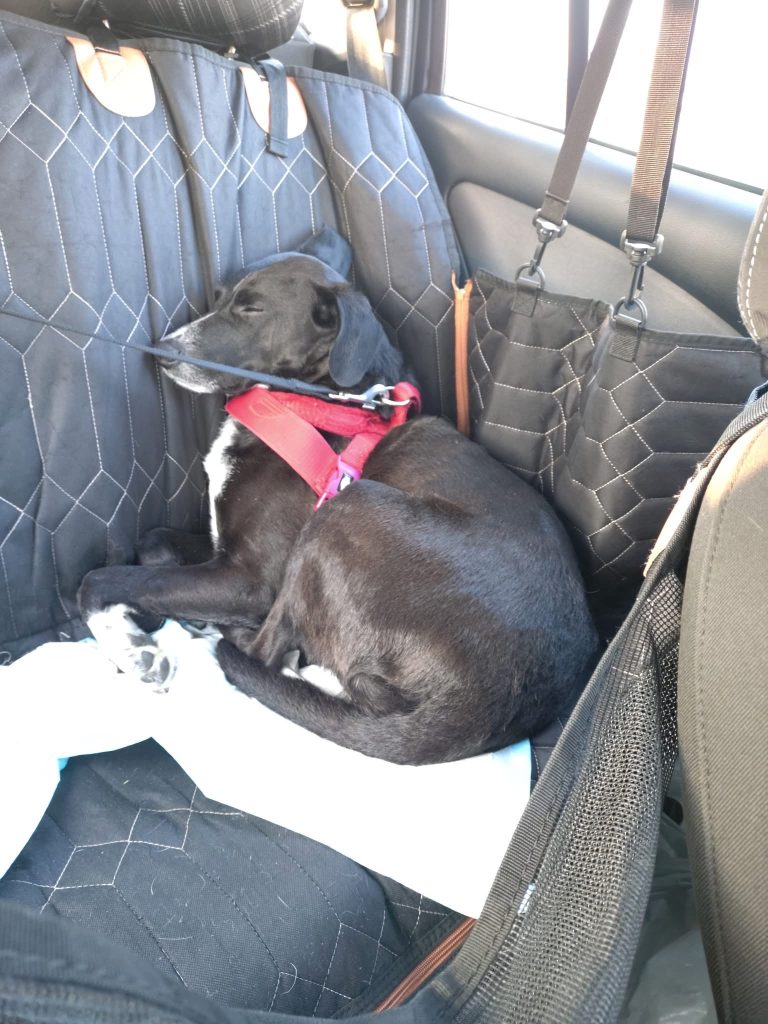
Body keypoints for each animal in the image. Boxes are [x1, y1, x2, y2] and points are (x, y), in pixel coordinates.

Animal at [78, 228, 597, 765]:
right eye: (218, 298)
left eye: (252, 309)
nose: (160, 351)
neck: (313, 401)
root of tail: (487, 709)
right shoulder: (223, 549)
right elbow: (152, 544)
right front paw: (144, 616)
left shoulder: (249, 580)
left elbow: (101, 580)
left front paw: (133, 647)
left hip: (349, 508)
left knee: (263, 653)